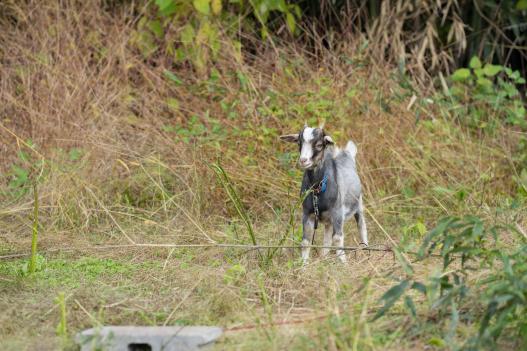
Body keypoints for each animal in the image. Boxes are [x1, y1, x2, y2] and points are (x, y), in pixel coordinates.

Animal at [278, 125, 370, 262]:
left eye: (319, 144)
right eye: (299, 143)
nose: (303, 160)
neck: (318, 190)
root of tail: (346, 154)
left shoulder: (337, 212)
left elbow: (337, 238)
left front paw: (344, 263)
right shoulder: (307, 213)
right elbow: (306, 242)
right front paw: (303, 265)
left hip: (358, 205)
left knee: (362, 227)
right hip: (328, 219)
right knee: (326, 238)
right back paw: (324, 257)